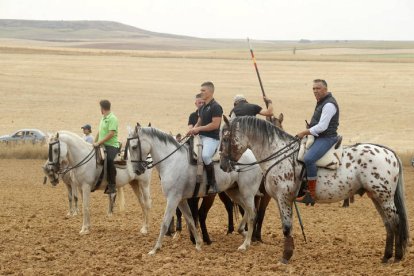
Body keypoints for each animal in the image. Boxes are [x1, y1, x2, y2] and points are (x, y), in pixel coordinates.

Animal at [126, 125, 262, 254]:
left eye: (134, 147)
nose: (137, 170)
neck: (172, 161)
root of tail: (253, 156)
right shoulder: (181, 200)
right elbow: (190, 220)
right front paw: (198, 244)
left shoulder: (173, 199)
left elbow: (165, 223)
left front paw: (155, 249)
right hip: (234, 191)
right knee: (248, 210)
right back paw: (243, 232)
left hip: (247, 192)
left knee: (252, 214)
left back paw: (245, 244)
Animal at [222, 116, 410, 264]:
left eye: (225, 138)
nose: (224, 165)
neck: (278, 155)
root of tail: (389, 152)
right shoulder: (281, 199)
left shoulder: (283, 198)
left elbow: (286, 227)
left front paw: (285, 256)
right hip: (376, 197)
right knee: (388, 224)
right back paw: (386, 256)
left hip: (384, 197)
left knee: (395, 222)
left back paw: (397, 257)